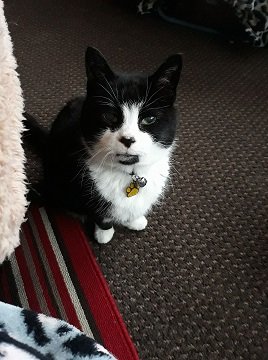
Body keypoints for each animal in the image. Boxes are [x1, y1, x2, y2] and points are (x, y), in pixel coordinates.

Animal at [25, 47, 183, 243]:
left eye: (149, 119)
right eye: (109, 116)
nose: (128, 139)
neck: (130, 174)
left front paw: (135, 220)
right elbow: (101, 214)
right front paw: (104, 234)